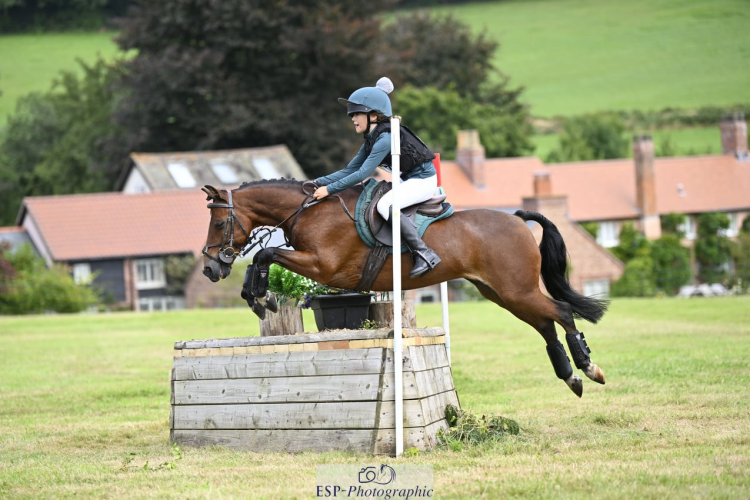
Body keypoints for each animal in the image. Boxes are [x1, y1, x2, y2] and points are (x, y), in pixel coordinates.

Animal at [200, 178, 608, 397]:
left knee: (561, 312)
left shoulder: (323, 266)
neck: (309, 211)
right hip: (501, 293)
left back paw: (589, 368)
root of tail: (518, 219)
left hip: (515, 290)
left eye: (219, 223)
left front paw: (261, 296)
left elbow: (265, 253)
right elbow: (263, 257)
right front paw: (257, 297)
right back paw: (571, 377)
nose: (209, 268)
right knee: (545, 324)